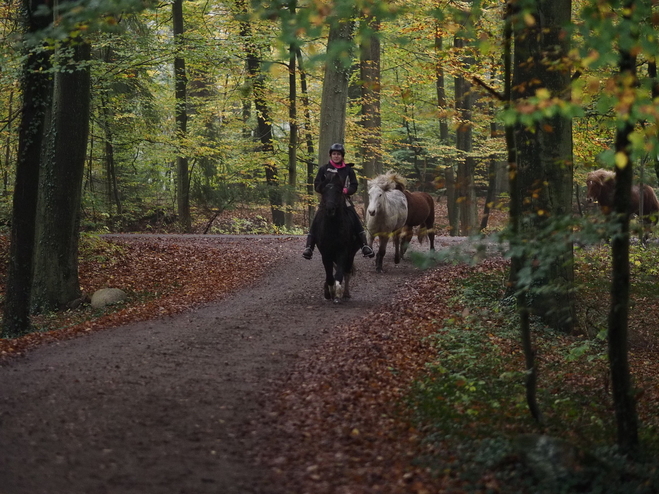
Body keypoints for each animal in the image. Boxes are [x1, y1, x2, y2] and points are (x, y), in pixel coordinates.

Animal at [314, 171, 360, 302]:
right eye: (324, 191)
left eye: (339, 191)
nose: (330, 209)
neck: (332, 228)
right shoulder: (325, 253)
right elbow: (329, 274)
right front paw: (330, 290)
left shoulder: (343, 251)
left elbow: (339, 273)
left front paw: (338, 292)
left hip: (351, 254)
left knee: (346, 271)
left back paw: (346, 293)